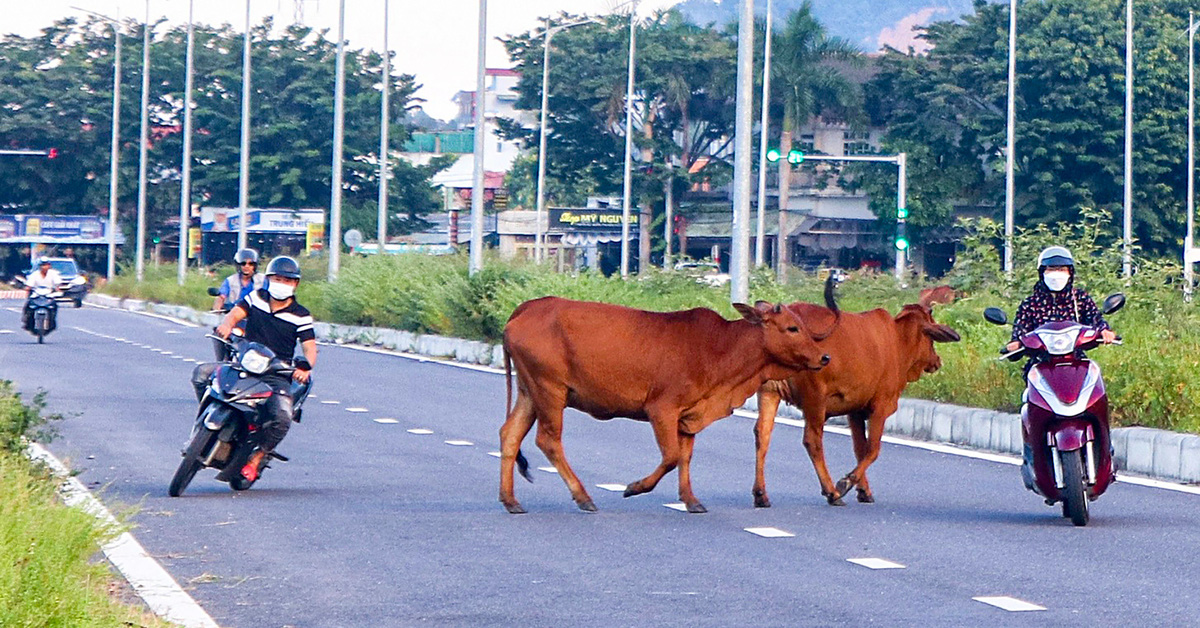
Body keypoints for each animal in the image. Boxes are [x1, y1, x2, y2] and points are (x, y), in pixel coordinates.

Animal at [501, 298, 830, 516]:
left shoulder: (688, 416)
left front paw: (691, 500)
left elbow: (685, 457)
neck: (721, 348)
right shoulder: (661, 409)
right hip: (549, 390)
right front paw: (634, 487)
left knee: (510, 435)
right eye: (792, 328)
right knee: (548, 440)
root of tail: (527, 307)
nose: (824, 357)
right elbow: (671, 457)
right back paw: (583, 497)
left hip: (529, 392)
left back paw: (511, 501)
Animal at [753, 294, 960, 506]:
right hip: (815, 398)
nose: (937, 360)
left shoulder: (855, 410)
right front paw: (846, 483)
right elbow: (873, 449)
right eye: (931, 338)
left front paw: (864, 490)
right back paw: (831, 492)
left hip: (769, 392)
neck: (898, 341)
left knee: (762, 434)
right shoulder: (880, 406)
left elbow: (860, 449)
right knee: (812, 441)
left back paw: (761, 494)